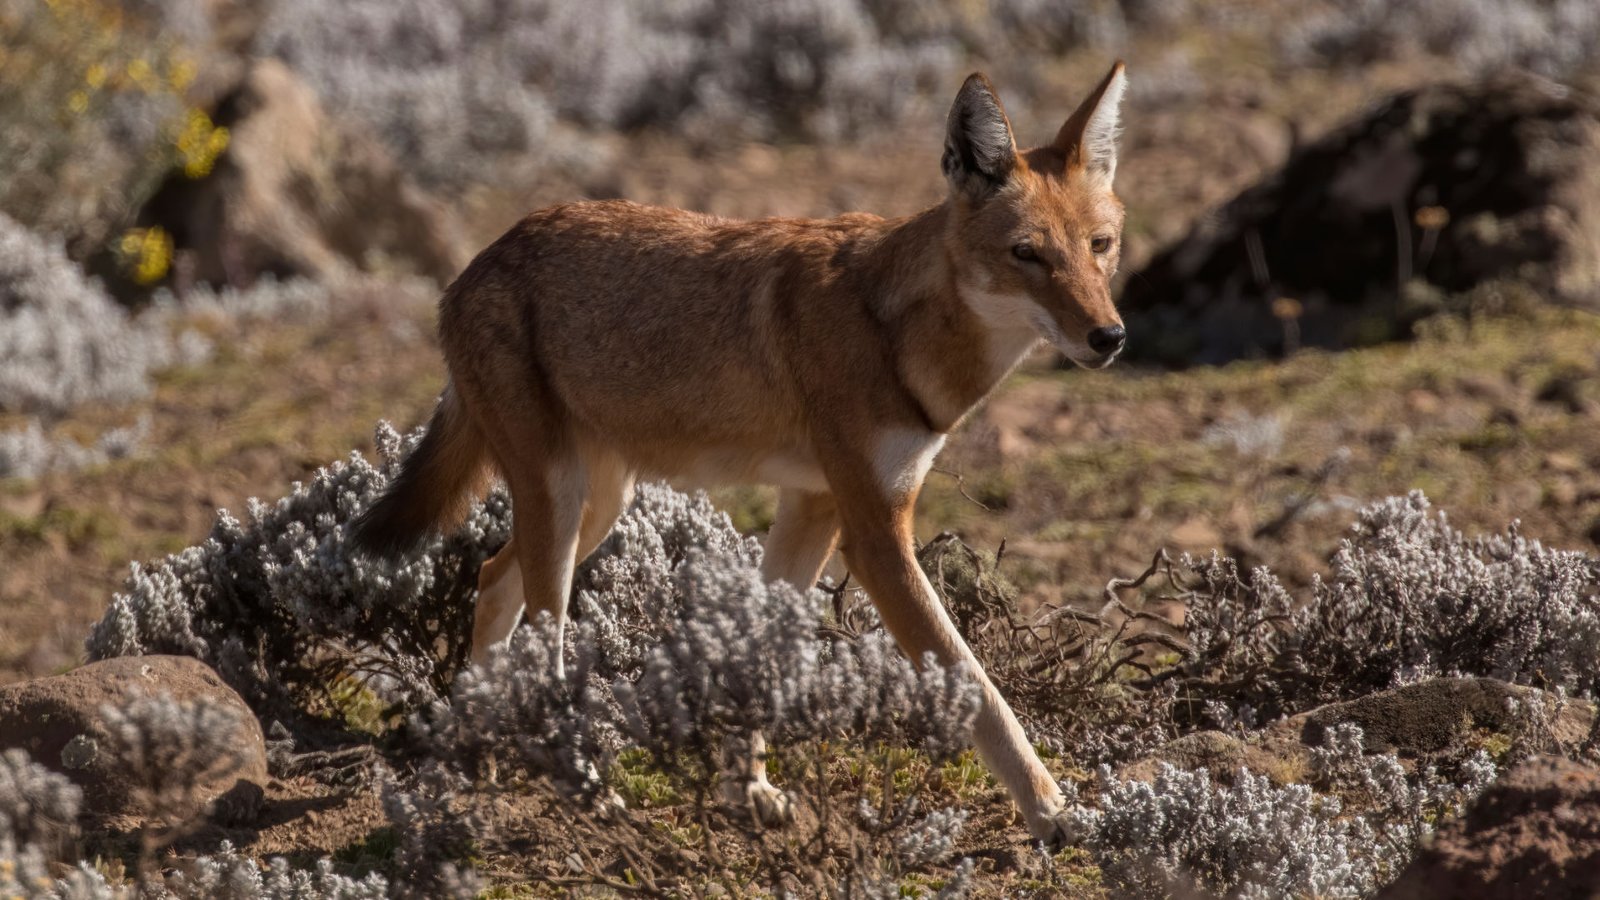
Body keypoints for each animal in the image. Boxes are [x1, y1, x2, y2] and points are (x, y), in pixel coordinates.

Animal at [353, 63, 1126, 839]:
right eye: (1026, 254)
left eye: (1101, 246)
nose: (1110, 337)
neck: (896, 331)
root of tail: (476, 263)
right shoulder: (876, 535)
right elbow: (977, 685)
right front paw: (1054, 811)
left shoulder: (815, 508)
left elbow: (760, 654)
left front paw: (747, 790)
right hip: (564, 505)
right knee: (542, 641)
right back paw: (585, 786)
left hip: (596, 508)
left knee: (490, 578)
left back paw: (480, 749)